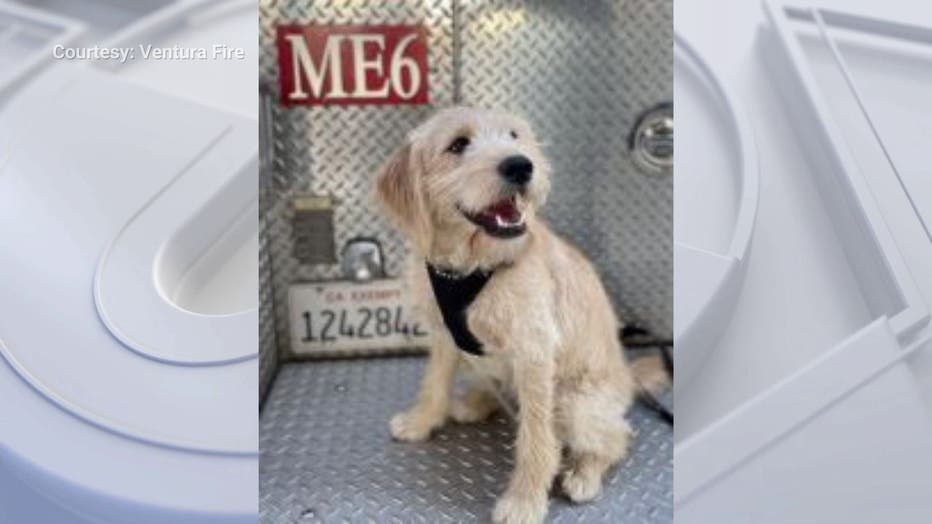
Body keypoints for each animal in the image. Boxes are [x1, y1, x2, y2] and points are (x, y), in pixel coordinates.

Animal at [374, 107, 668, 524]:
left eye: (514, 136)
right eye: (458, 145)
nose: (520, 165)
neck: (474, 265)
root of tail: (628, 378)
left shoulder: (534, 353)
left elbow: (537, 438)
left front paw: (525, 500)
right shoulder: (445, 335)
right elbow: (435, 381)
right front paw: (422, 420)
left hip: (575, 402)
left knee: (617, 437)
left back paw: (585, 473)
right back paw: (475, 401)